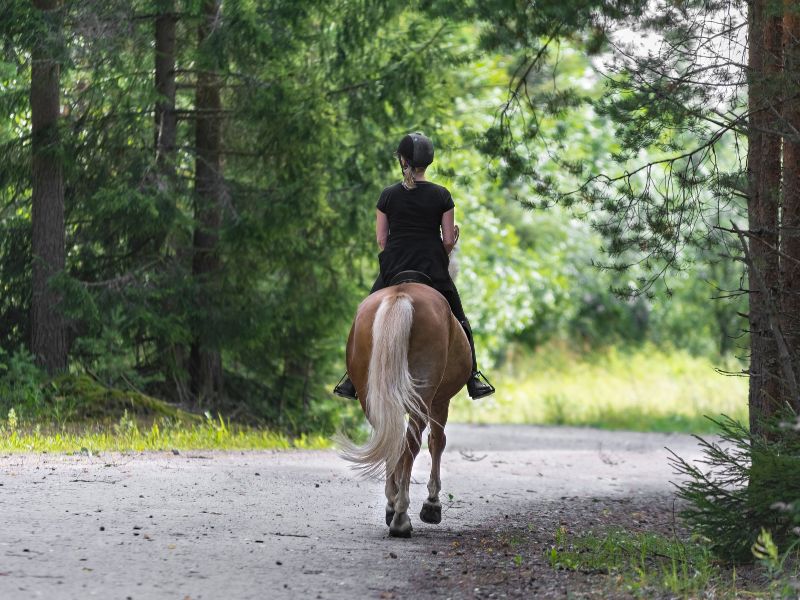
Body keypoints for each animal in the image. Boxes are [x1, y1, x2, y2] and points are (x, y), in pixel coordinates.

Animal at [334, 282, 472, 540]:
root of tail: (401, 294)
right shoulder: (440, 402)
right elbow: (437, 442)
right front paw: (432, 504)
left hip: (372, 397)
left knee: (392, 441)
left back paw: (392, 506)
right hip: (423, 398)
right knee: (411, 446)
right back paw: (401, 517)